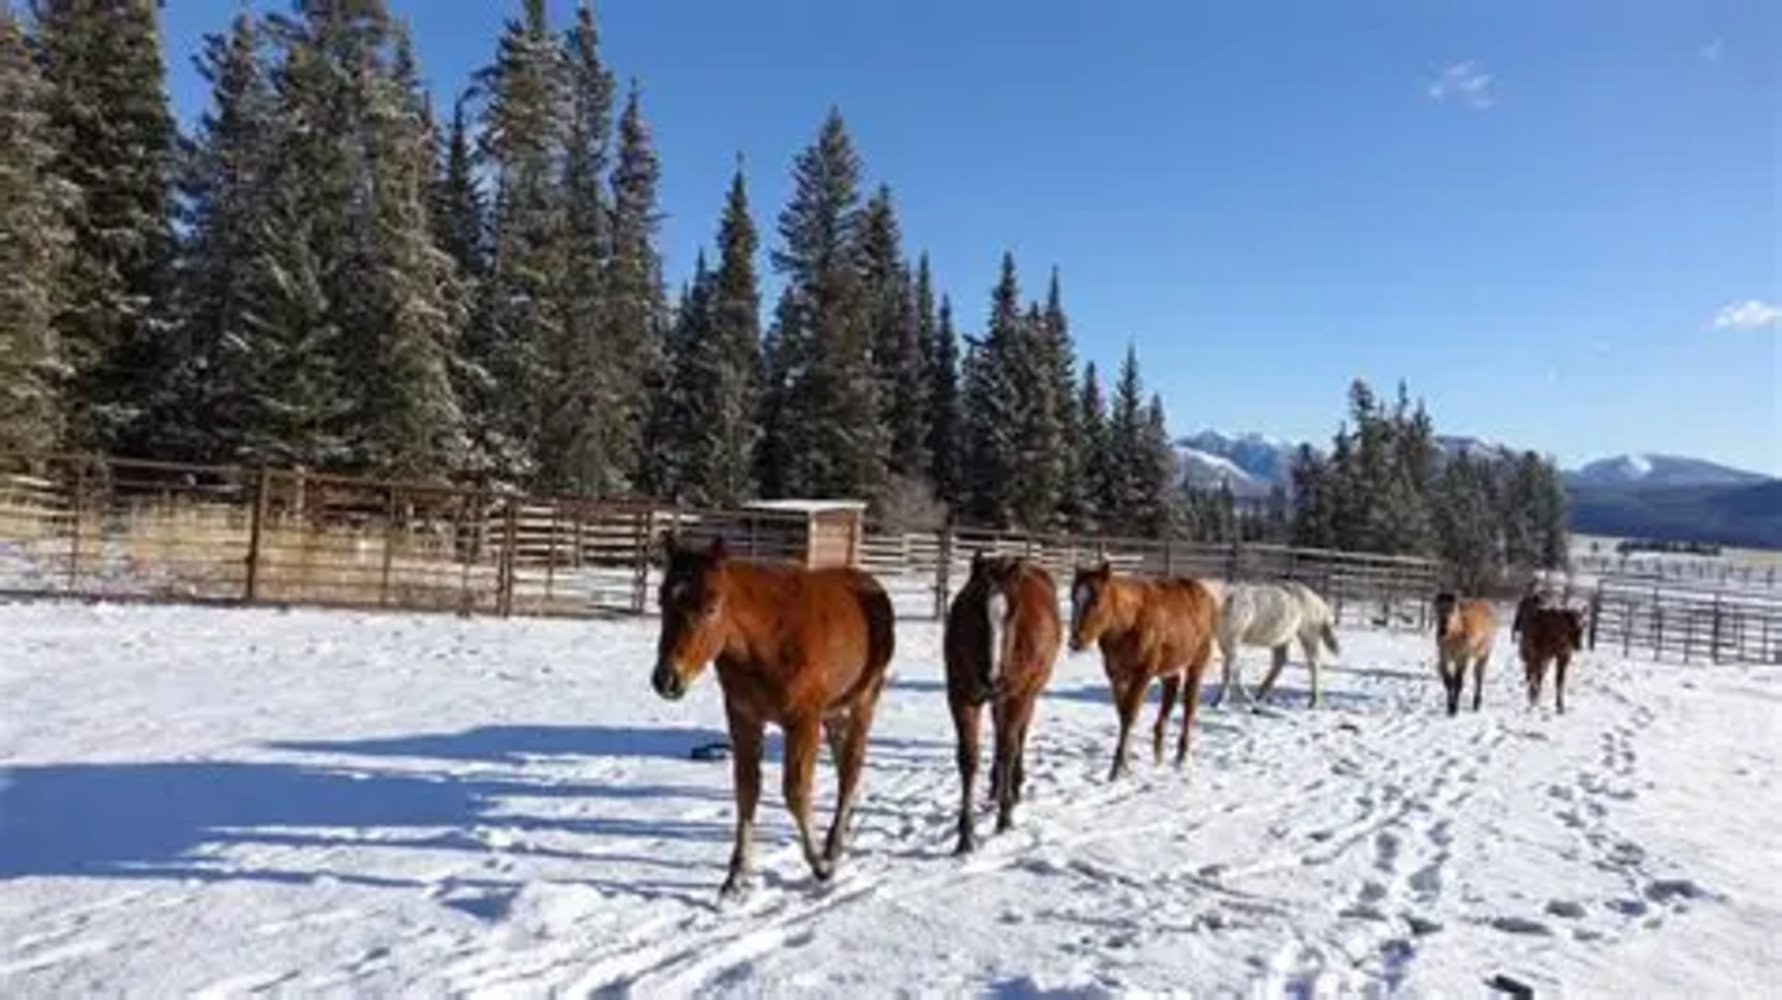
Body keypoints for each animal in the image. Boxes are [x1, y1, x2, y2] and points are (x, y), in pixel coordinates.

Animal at [649, 534, 895, 898]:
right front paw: (736, 875)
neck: (766, 640)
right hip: (834, 711)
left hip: (865, 698)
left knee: (851, 766)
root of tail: (874, 586)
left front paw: (820, 866)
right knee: (843, 763)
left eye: (711, 607)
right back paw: (843, 828)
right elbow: (746, 789)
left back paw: (833, 844)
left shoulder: (803, 720)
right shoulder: (744, 718)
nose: (667, 679)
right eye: (662, 601)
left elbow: (796, 791)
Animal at [944, 553, 1061, 854]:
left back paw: (1013, 787)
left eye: (1013, 614)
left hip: (1026, 695)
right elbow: (968, 758)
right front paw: (965, 835)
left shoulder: (1016, 697)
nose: (992, 676)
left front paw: (1004, 818)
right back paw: (997, 786)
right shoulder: (961, 698)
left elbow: (1008, 749)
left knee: (1017, 736)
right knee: (1001, 733)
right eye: (974, 608)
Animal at [1068, 562, 1219, 780]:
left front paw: (1118, 766)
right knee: (1171, 691)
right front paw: (1125, 761)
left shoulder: (1143, 673)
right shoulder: (1115, 674)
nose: (1075, 641)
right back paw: (1158, 755)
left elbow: (1130, 714)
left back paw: (1181, 757)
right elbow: (1122, 713)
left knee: (1190, 705)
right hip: (1168, 666)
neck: (1128, 622)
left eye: (1096, 599)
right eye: (1073, 598)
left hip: (1198, 661)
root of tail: (1204, 592)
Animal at [1209, 581, 1342, 709]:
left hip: (1309, 634)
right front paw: (1240, 697)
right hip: (1282, 638)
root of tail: (1319, 602)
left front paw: (1221, 700)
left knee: (1313, 663)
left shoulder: (1232, 640)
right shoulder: (1224, 641)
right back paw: (1261, 694)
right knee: (1280, 661)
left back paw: (1314, 701)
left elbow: (1230, 670)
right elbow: (1233, 669)